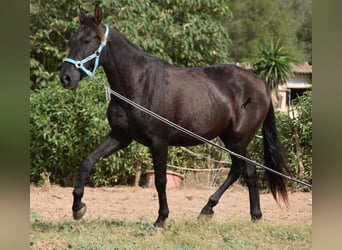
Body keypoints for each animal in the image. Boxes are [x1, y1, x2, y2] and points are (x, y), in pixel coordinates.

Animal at [59, 6, 288, 228]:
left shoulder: (159, 141)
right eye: (71, 40)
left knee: (238, 169)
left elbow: (161, 181)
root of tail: (261, 85)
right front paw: (78, 207)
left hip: (237, 140)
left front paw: (161, 219)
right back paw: (252, 214)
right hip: (233, 139)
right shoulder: (120, 136)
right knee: (248, 169)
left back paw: (209, 209)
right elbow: (88, 161)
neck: (139, 83)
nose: (66, 78)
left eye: (87, 40)